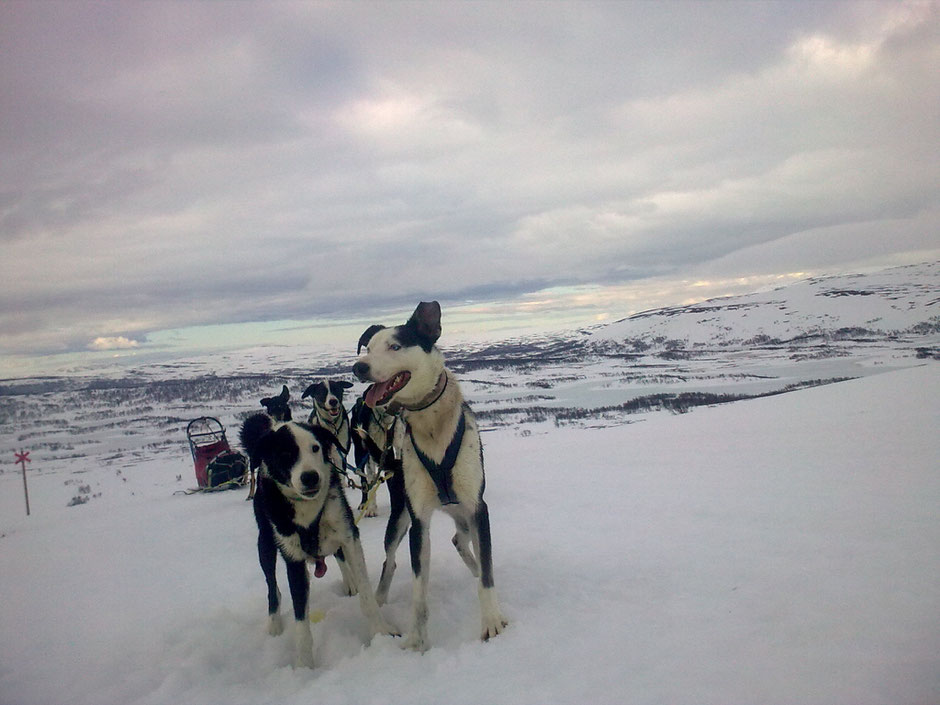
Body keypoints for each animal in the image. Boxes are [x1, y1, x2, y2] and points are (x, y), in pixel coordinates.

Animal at [239, 416, 396, 668]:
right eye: (285, 454)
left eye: (315, 448)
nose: (310, 476)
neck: (308, 511)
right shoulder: (293, 559)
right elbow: (301, 619)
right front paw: (304, 666)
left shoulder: (349, 534)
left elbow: (366, 594)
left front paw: (381, 631)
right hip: (265, 544)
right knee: (272, 587)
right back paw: (274, 623)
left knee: (338, 555)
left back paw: (349, 581)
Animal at [350, 300, 506, 652]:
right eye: (368, 348)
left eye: (394, 346)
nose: (358, 367)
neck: (432, 424)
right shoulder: (419, 520)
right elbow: (419, 591)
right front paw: (416, 641)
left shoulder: (479, 508)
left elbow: (489, 574)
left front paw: (492, 621)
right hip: (400, 518)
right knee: (390, 560)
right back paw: (380, 597)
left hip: (465, 516)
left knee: (463, 542)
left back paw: (474, 568)